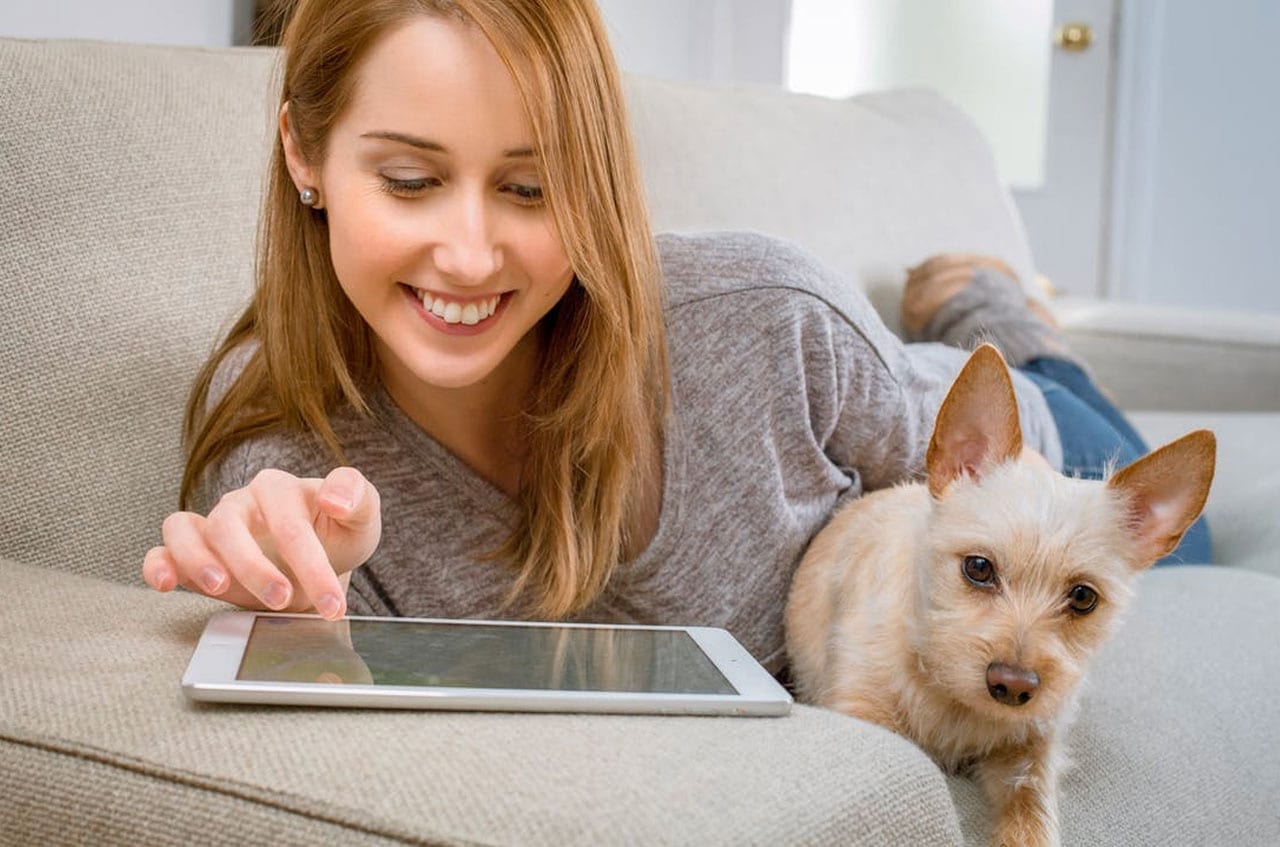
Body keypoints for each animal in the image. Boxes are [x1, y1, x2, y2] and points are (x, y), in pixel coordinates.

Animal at [783, 345, 1213, 847]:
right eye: (978, 568)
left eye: (1083, 597)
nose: (1013, 685)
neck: (948, 693)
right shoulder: (861, 709)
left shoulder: (1030, 754)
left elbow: (1030, 816)